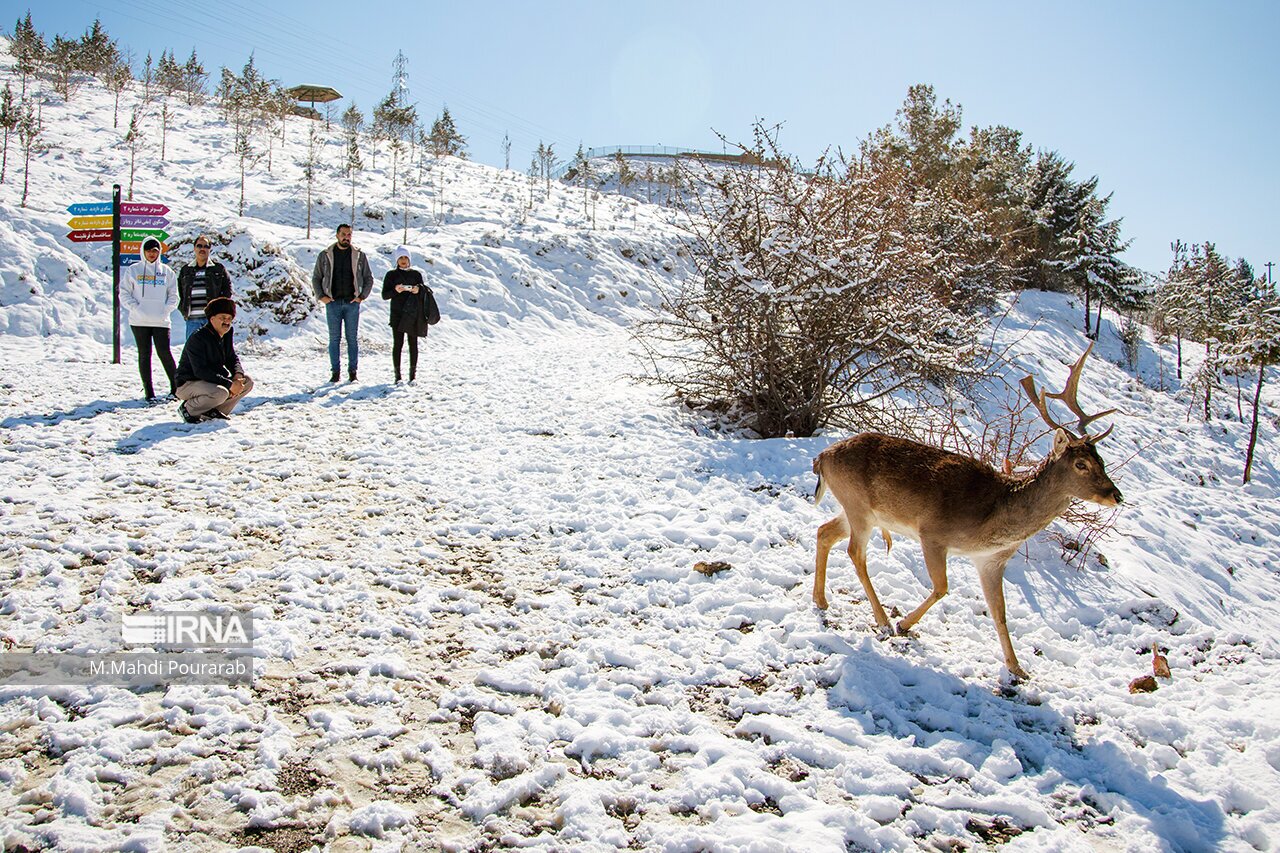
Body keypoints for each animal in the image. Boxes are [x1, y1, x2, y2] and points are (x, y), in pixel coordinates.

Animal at [808, 343, 1121, 681]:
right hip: (859, 508)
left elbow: (999, 612)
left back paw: (821, 600)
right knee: (855, 552)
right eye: (1081, 464)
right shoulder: (932, 534)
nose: (1116, 495)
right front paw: (904, 623)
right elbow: (942, 587)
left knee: (824, 532)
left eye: (1102, 461)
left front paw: (1017, 668)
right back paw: (883, 620)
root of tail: (823, 457)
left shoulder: (991, 561)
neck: (994, 519)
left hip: (856, 510)